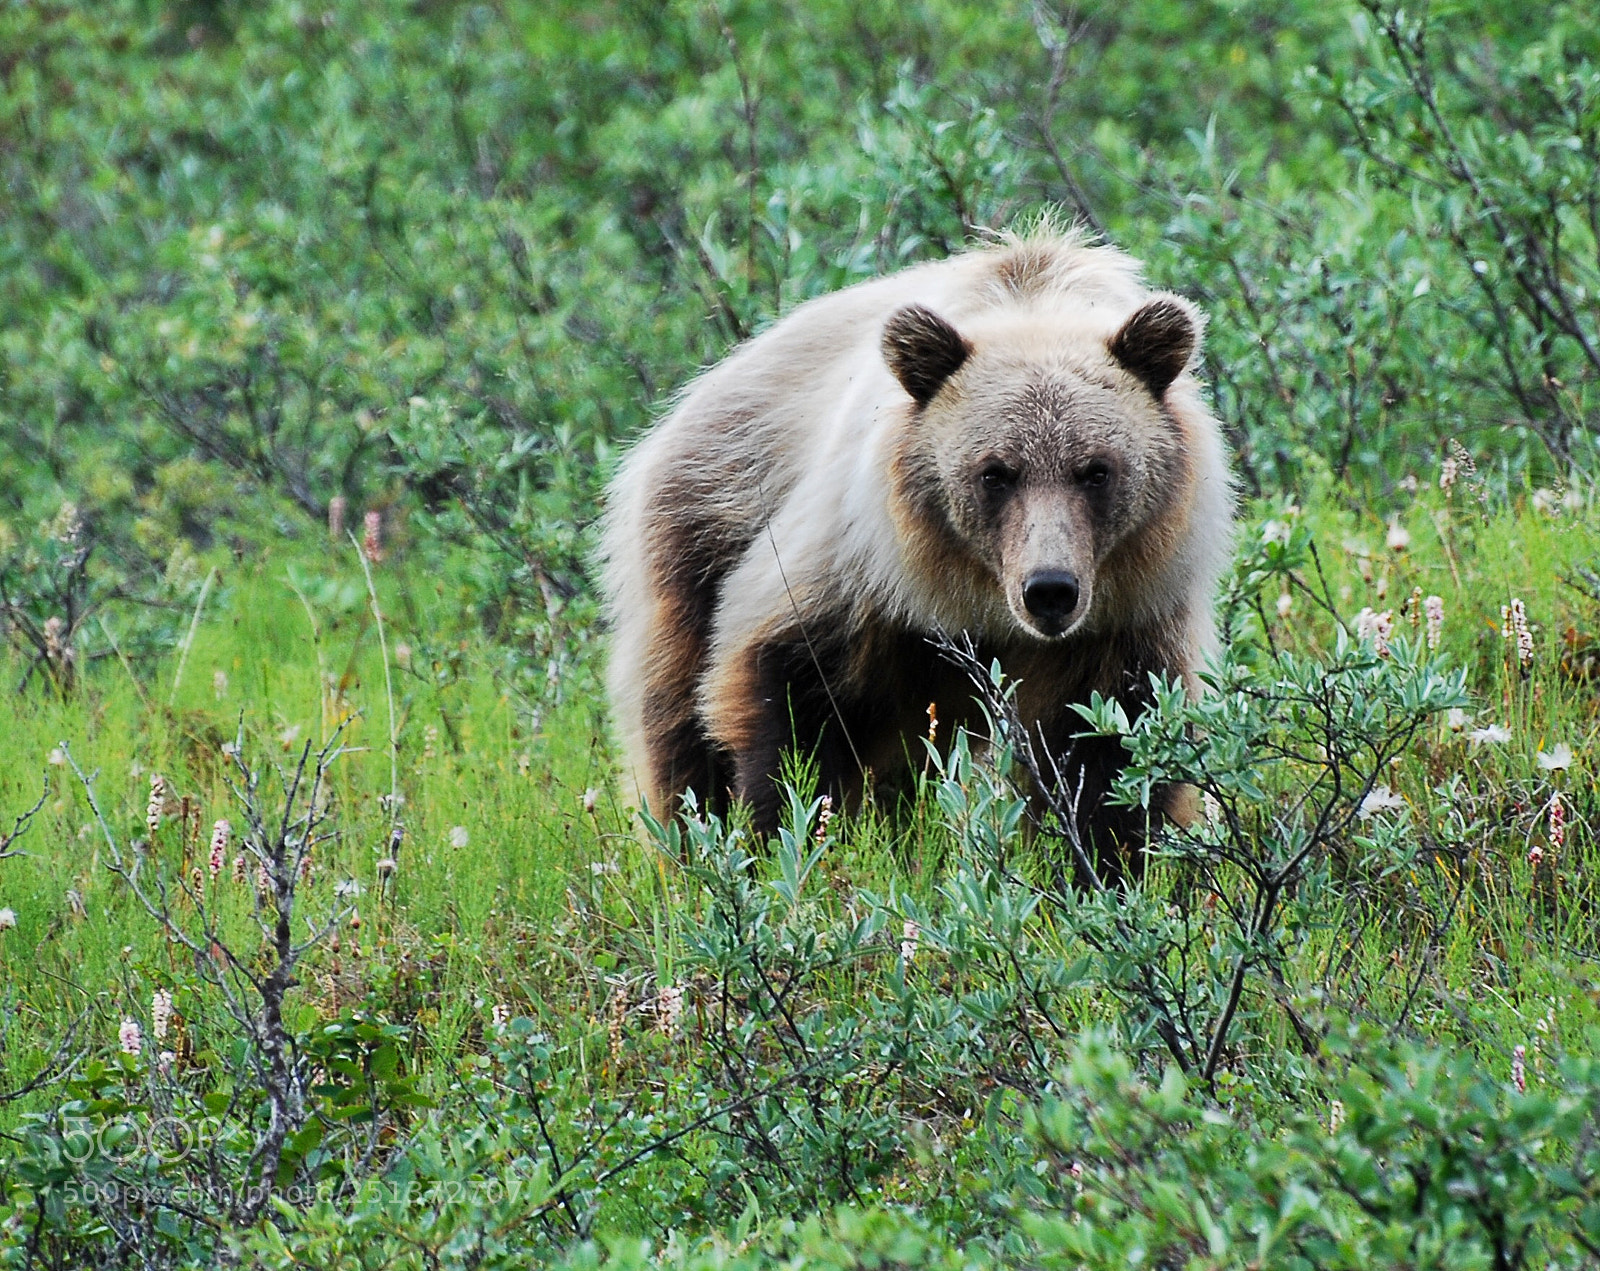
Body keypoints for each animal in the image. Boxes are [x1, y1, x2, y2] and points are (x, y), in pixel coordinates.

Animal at [599, 227, 1234, 878]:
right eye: (995, 472)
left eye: (1097, 470)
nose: (1050, 590)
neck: (974, 603)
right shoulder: (855, 576)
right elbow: (790, 707)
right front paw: (780, 839)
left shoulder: (1125, 618)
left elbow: (1110, 749)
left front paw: (1108, 867)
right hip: (700, 532)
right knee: (675, 720)